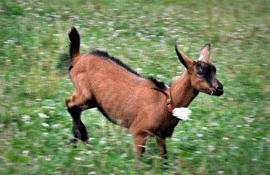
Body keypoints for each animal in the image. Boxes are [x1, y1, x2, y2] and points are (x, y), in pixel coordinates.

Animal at [65, 27, 224, 159]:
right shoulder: (139, 133)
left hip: (93, 101)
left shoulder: (161, 135)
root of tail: (78, 60)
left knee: (75, 108)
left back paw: (77, 140)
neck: (166, 100)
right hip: (84, 94)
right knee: (70, 103)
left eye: (214, 70)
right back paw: (82, 137)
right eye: (200, 72)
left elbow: (164, 159)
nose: (220, 88)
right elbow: (140, 160)